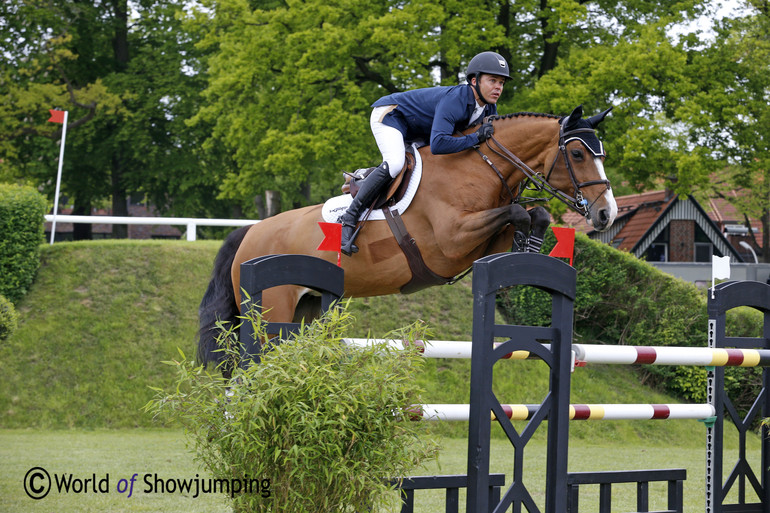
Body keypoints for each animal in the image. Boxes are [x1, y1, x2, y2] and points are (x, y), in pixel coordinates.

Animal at [198, 105, 616, 368]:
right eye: (578, 154)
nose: (606, 214)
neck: (481, 167)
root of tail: (249, 234)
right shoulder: (452, 241)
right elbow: (515, 212)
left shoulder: (477, 242)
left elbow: (532, 215)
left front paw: (529, 246)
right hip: (270, 313)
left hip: (306, 310)